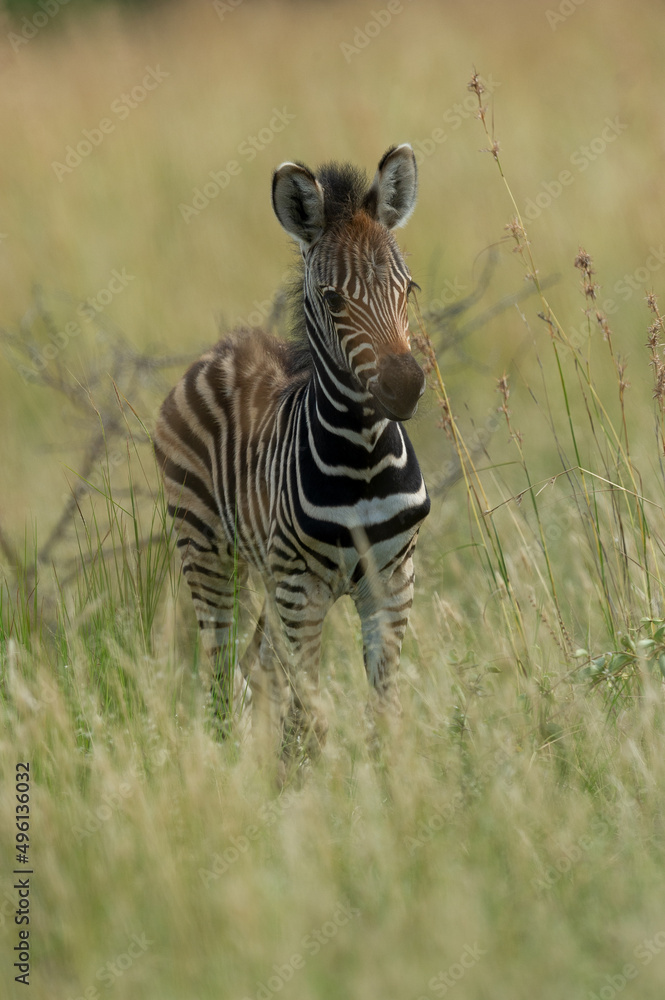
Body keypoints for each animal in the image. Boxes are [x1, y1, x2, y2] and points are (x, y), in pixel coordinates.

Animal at [154, 143, 430, 759]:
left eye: (409, 289)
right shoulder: (302, 589)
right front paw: (306, 781)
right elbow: (310, 717)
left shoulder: (393, 583)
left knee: (255, 666)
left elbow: (385, 713)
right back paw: (233, 764)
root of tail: (227, 344)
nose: (404, 388)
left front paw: (390, 780)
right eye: (333, 300)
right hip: (210, 555)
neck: (363, 459)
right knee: (222, 675)